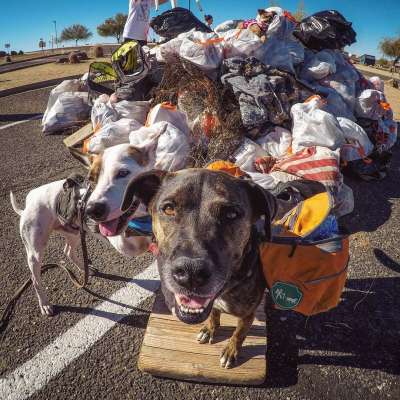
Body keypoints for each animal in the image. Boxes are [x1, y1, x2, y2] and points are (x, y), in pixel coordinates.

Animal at [10, 144, 155, 316]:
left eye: (123, 173)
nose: (92, 210)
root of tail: (26, 206)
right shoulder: (123, 241)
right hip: (35, 252)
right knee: (35, 279)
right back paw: (44, 304)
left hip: (73, 233)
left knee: (67, 251)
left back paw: (87, 269)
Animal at [122, 169, 276, 368]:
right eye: (169, 208)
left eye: (231, 214)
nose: (190, 273)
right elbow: (214, 315)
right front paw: (209, 329)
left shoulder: (247, 316)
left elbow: (239, 334)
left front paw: (231, 350)